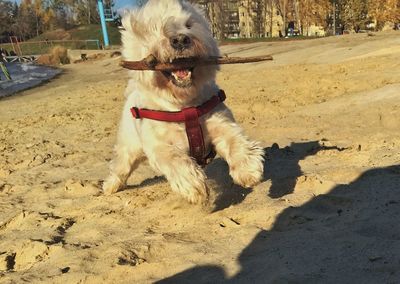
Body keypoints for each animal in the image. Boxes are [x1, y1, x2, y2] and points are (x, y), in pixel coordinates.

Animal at [103, 0, 264, 204]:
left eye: (189, 25)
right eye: (155, 27)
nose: (180, 39)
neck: (183, 105)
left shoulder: (220, 123)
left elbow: (234, 140)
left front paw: (248, 169)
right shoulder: (159, 145)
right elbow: (175, 159)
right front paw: (194, 187)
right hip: (129, 146)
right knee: (120, 165)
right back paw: (110, 186)